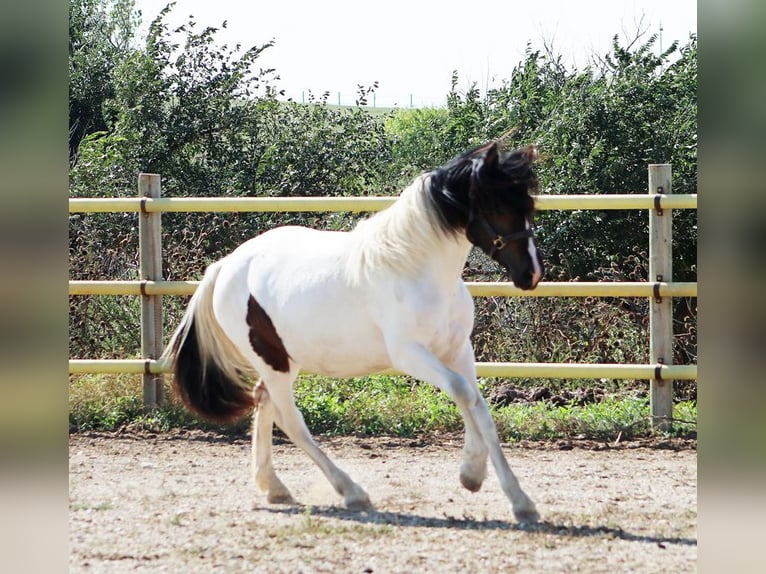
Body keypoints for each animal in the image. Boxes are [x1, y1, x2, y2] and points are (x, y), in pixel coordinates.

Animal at [163, 141, 545, 523]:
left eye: (528, 206)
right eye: (498, 206)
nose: (531, 274)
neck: (414, 269)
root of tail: (225, 266)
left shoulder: (458, 350)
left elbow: (479, 408)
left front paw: (502, 490)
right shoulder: (409, 355)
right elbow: (463, 393)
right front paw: (479, 477)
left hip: (285, 359)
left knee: (265, 402)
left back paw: (274, 487)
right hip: (273, 362)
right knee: (291, 421)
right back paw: (351, 492)